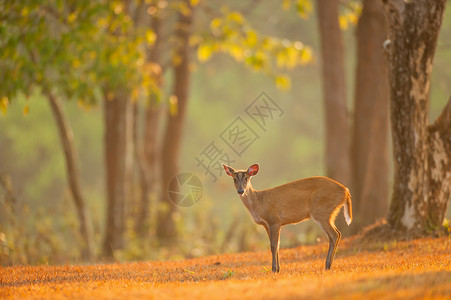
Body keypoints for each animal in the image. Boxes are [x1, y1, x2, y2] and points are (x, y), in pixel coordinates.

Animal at [222, 163, 354, 274]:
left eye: (246, 178)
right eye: (234, 179)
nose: (241, 191)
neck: (259, 204)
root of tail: (346, 191)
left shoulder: (274, 220)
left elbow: (274, 246)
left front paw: (274, 269)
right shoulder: (267, 225)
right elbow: (276, 245)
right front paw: (278, 269)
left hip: (322, 212)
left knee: (334, 235)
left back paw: (327, 265)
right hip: (328, 213)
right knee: (336, 234)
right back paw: (328, 265)